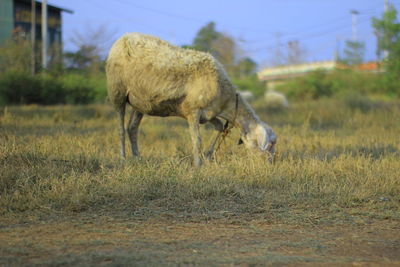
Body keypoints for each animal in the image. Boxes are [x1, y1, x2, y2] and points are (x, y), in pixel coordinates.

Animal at [104, 33, 276, 168]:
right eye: (271, 144)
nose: (270, 165)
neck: (225, 98)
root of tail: (124, 37)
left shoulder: (208, 113)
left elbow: (220, 127)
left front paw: (208, 156)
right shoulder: (192, 110)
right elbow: (197, 139)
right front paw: (198, 165)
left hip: (140, 102)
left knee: (132, 128)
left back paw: (138, 158)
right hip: (117, 91)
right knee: (120, 129)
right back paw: (123, 159)